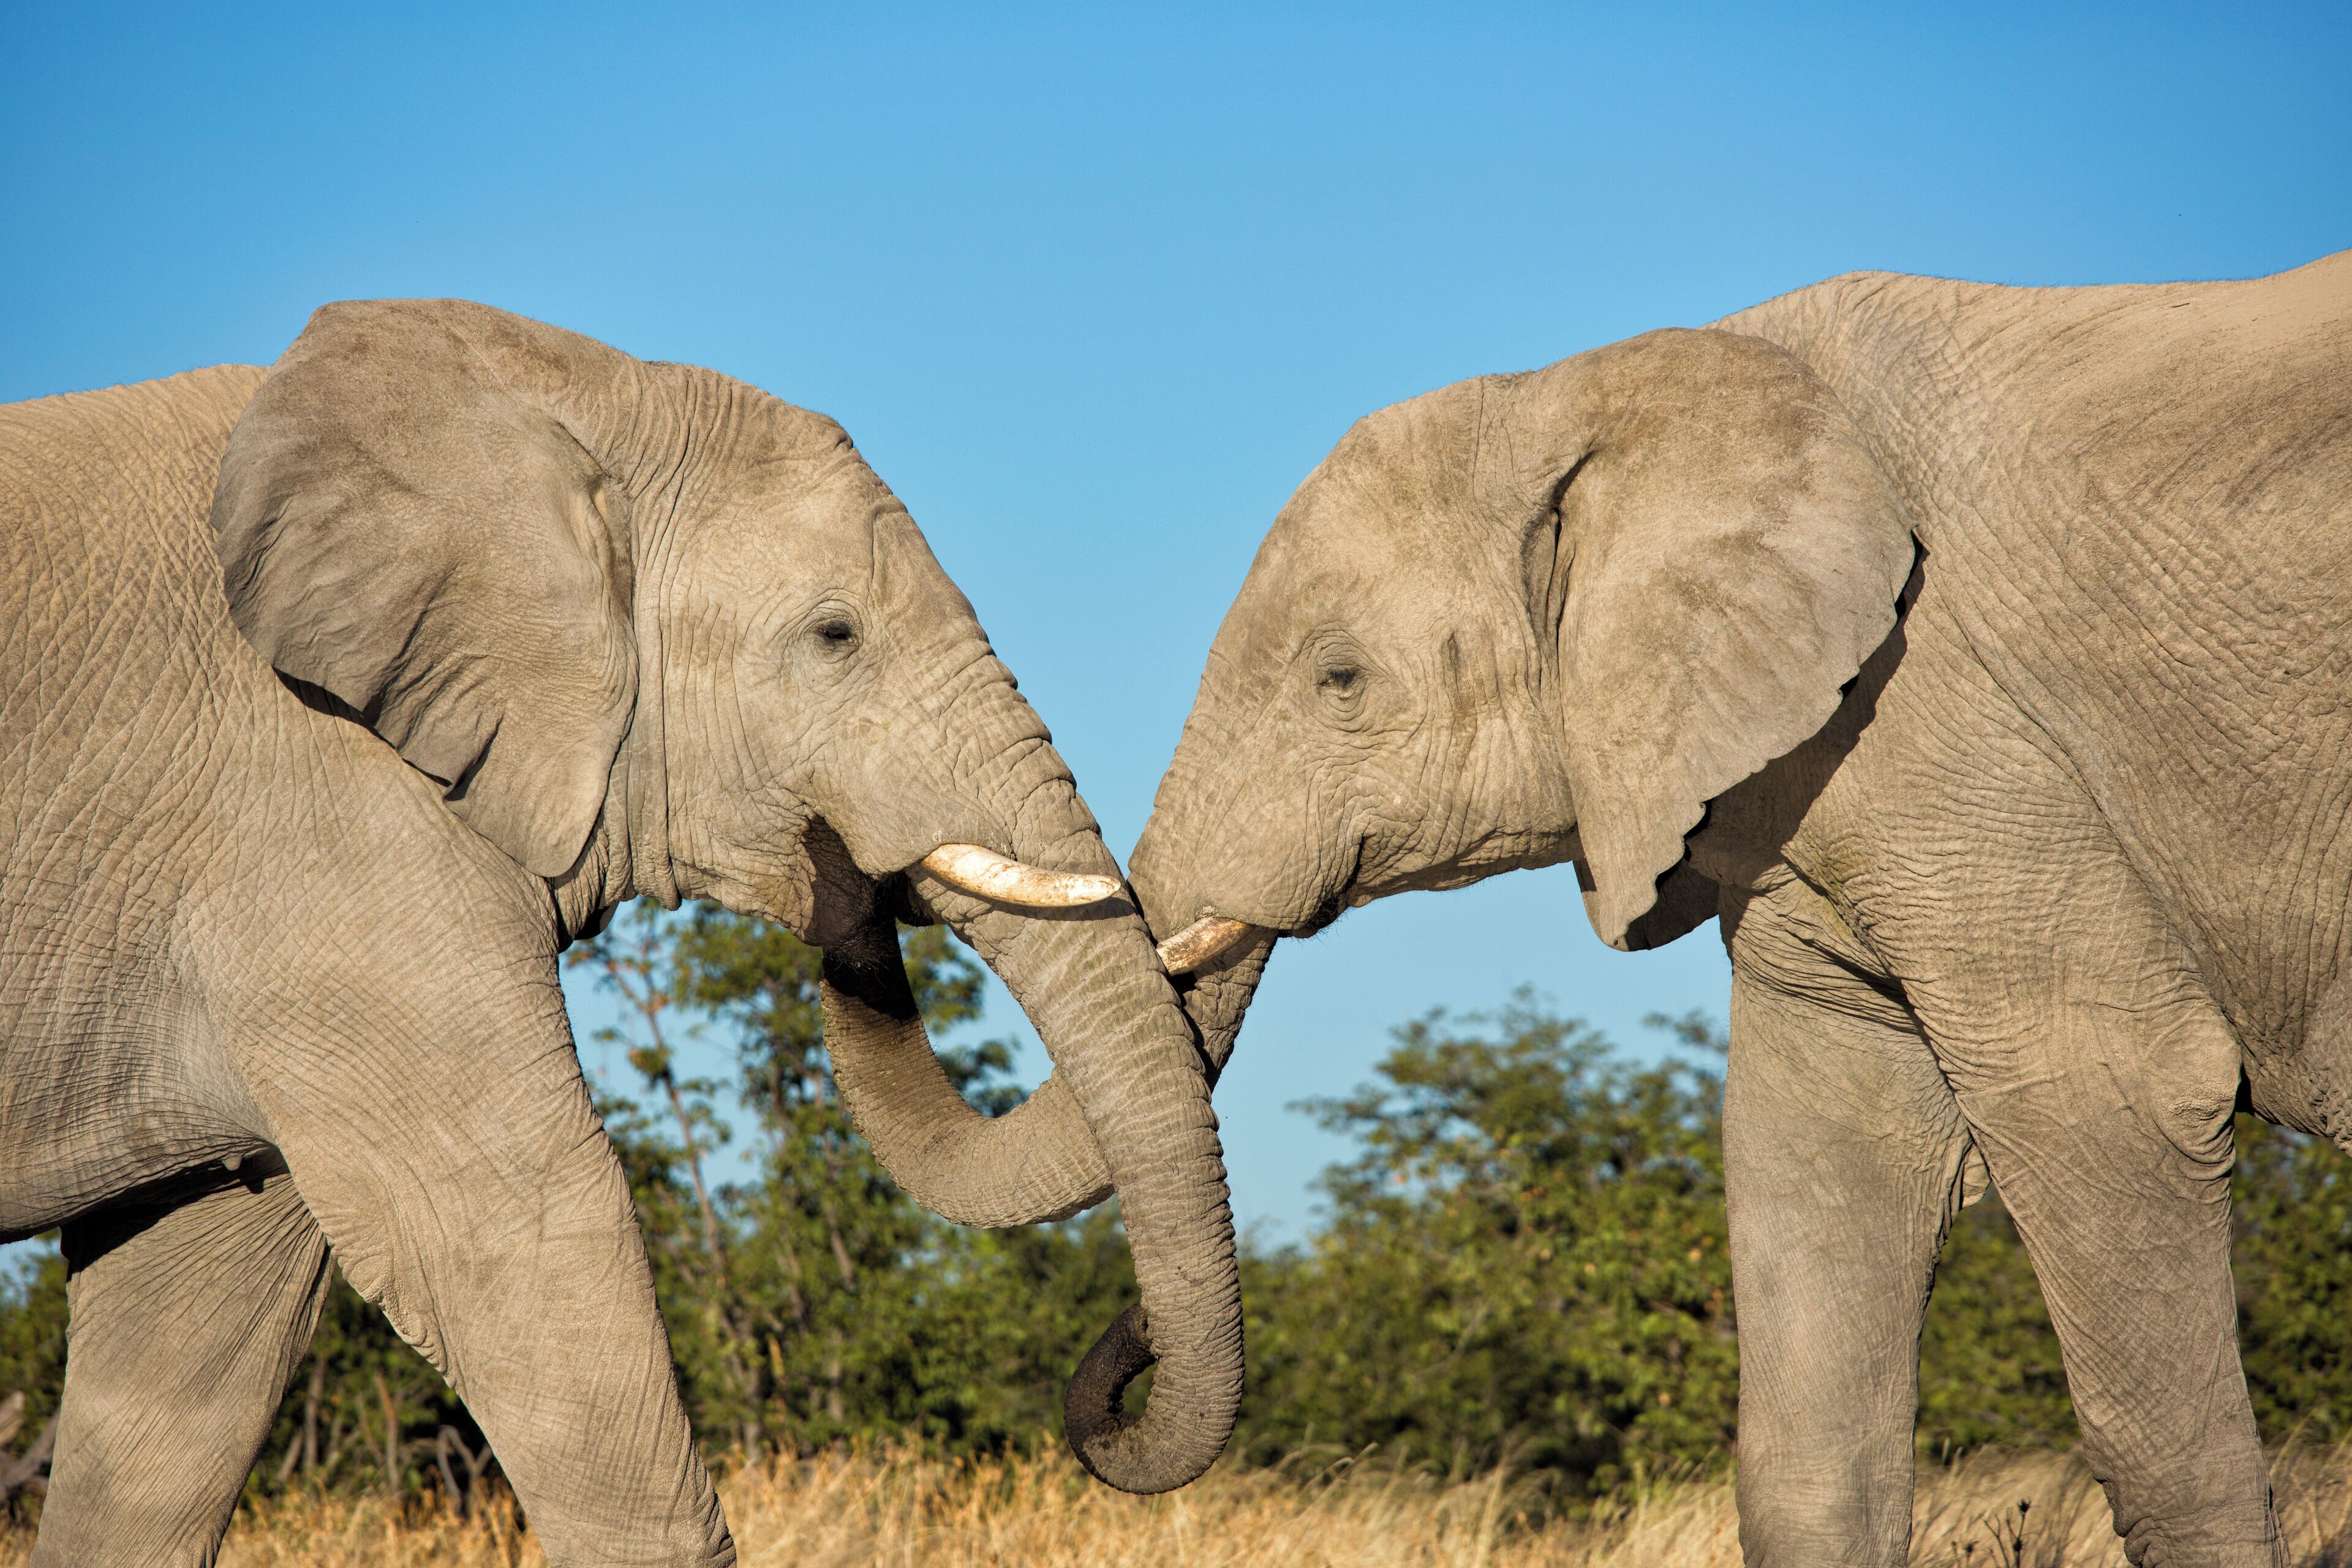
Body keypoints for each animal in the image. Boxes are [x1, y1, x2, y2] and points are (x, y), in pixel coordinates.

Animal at [0, 299, 1239, 1566]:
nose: (1113, 1398)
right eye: (835, 636)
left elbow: (194, 1334)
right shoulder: (322, 822)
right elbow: (527, 1235)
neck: (550, 403)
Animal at [1127, 251, 2352, 1566]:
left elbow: (2118, 1111)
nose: (1115, 1379)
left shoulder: (1963, 730)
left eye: (1340, 678)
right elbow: (1822, 1196)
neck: (1596, 389)